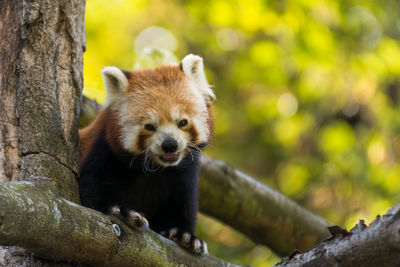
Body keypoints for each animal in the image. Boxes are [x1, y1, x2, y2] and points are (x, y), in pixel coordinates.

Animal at [79, 54, 214, 255]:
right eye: (150, 126)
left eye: (182, 122)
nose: (170, 145)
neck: (155, 169)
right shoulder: (104, 151)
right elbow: (93, 189)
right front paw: (121, 212)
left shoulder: (182, 173)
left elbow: (182, 201)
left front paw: (185, 235)